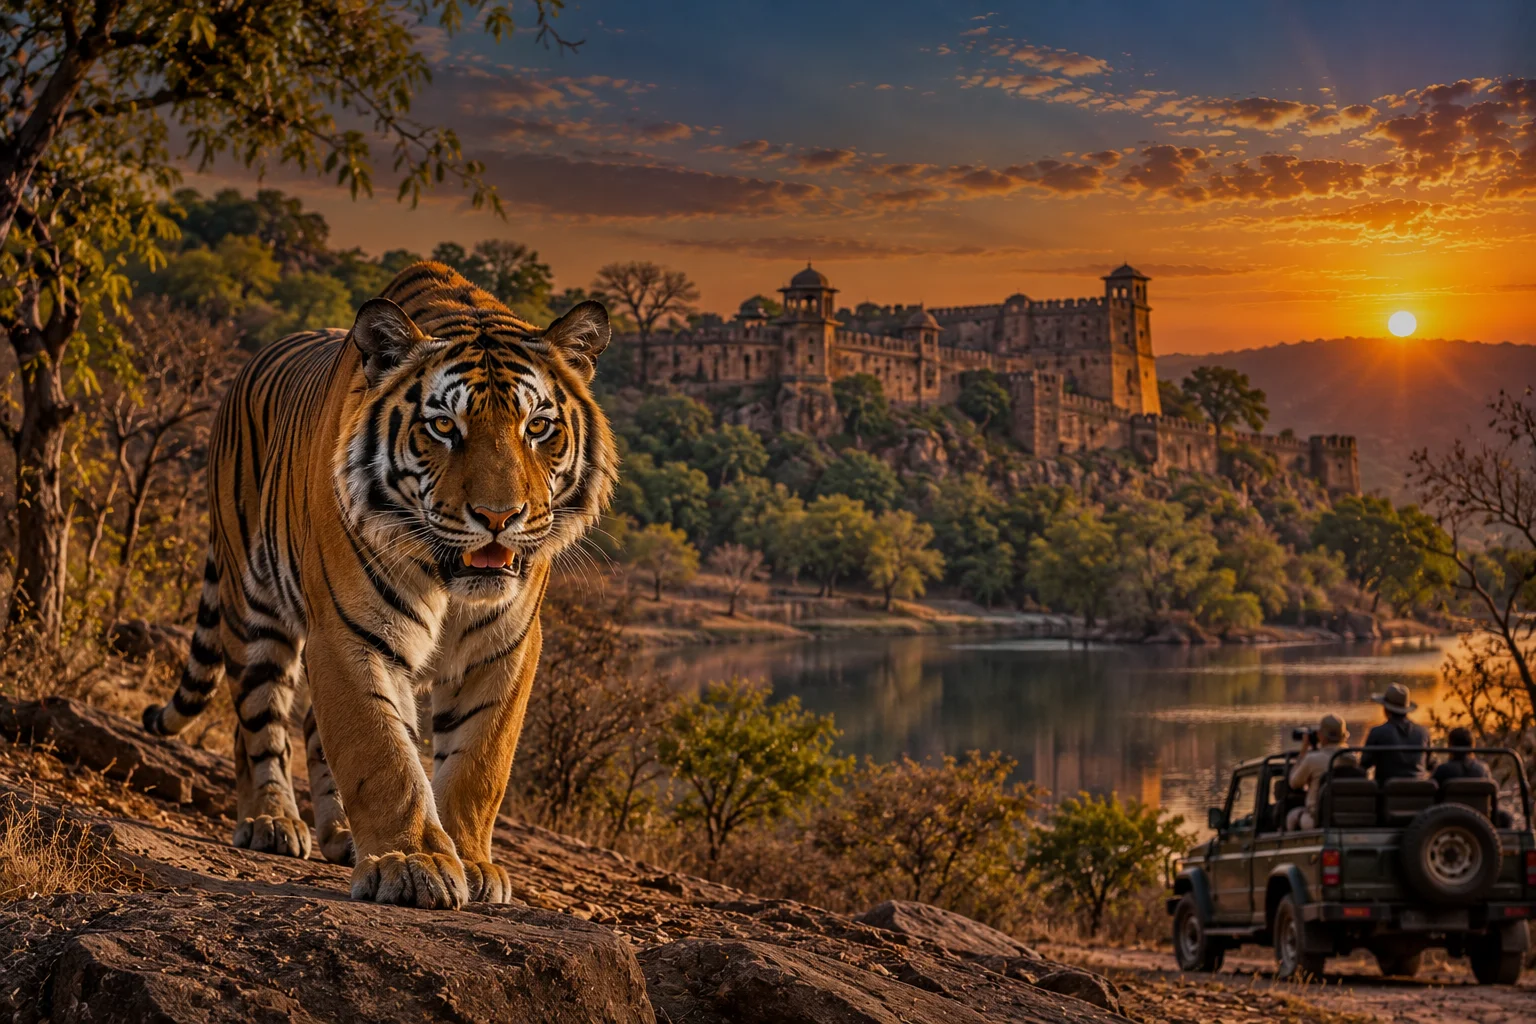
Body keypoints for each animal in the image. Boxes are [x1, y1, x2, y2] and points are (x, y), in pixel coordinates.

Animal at [140, 262, 617, 910]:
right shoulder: (350, 631)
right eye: (443, 426)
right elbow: (382, 752)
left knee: (311, 729)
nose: (499, 516)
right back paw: (271, 821)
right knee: (258, 723)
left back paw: (341, 834)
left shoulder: (508, 646)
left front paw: (473, 863)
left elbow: (478, 763)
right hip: (253, 605)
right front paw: (413, 864)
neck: (449, 583)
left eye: (538, 427)